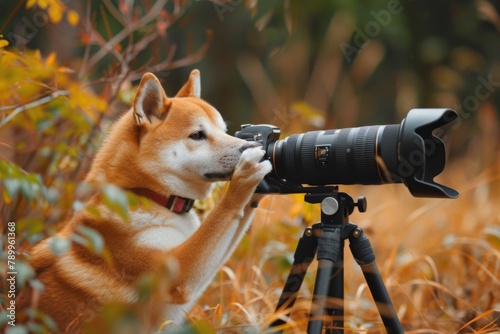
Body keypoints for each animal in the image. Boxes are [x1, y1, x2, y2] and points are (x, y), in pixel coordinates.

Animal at [18, 69, 274, 332]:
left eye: (223, 130)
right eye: (197, 135)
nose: (251, 145)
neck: (150, 196)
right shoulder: (178, 272)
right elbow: (225, 211)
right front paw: (245, 175)